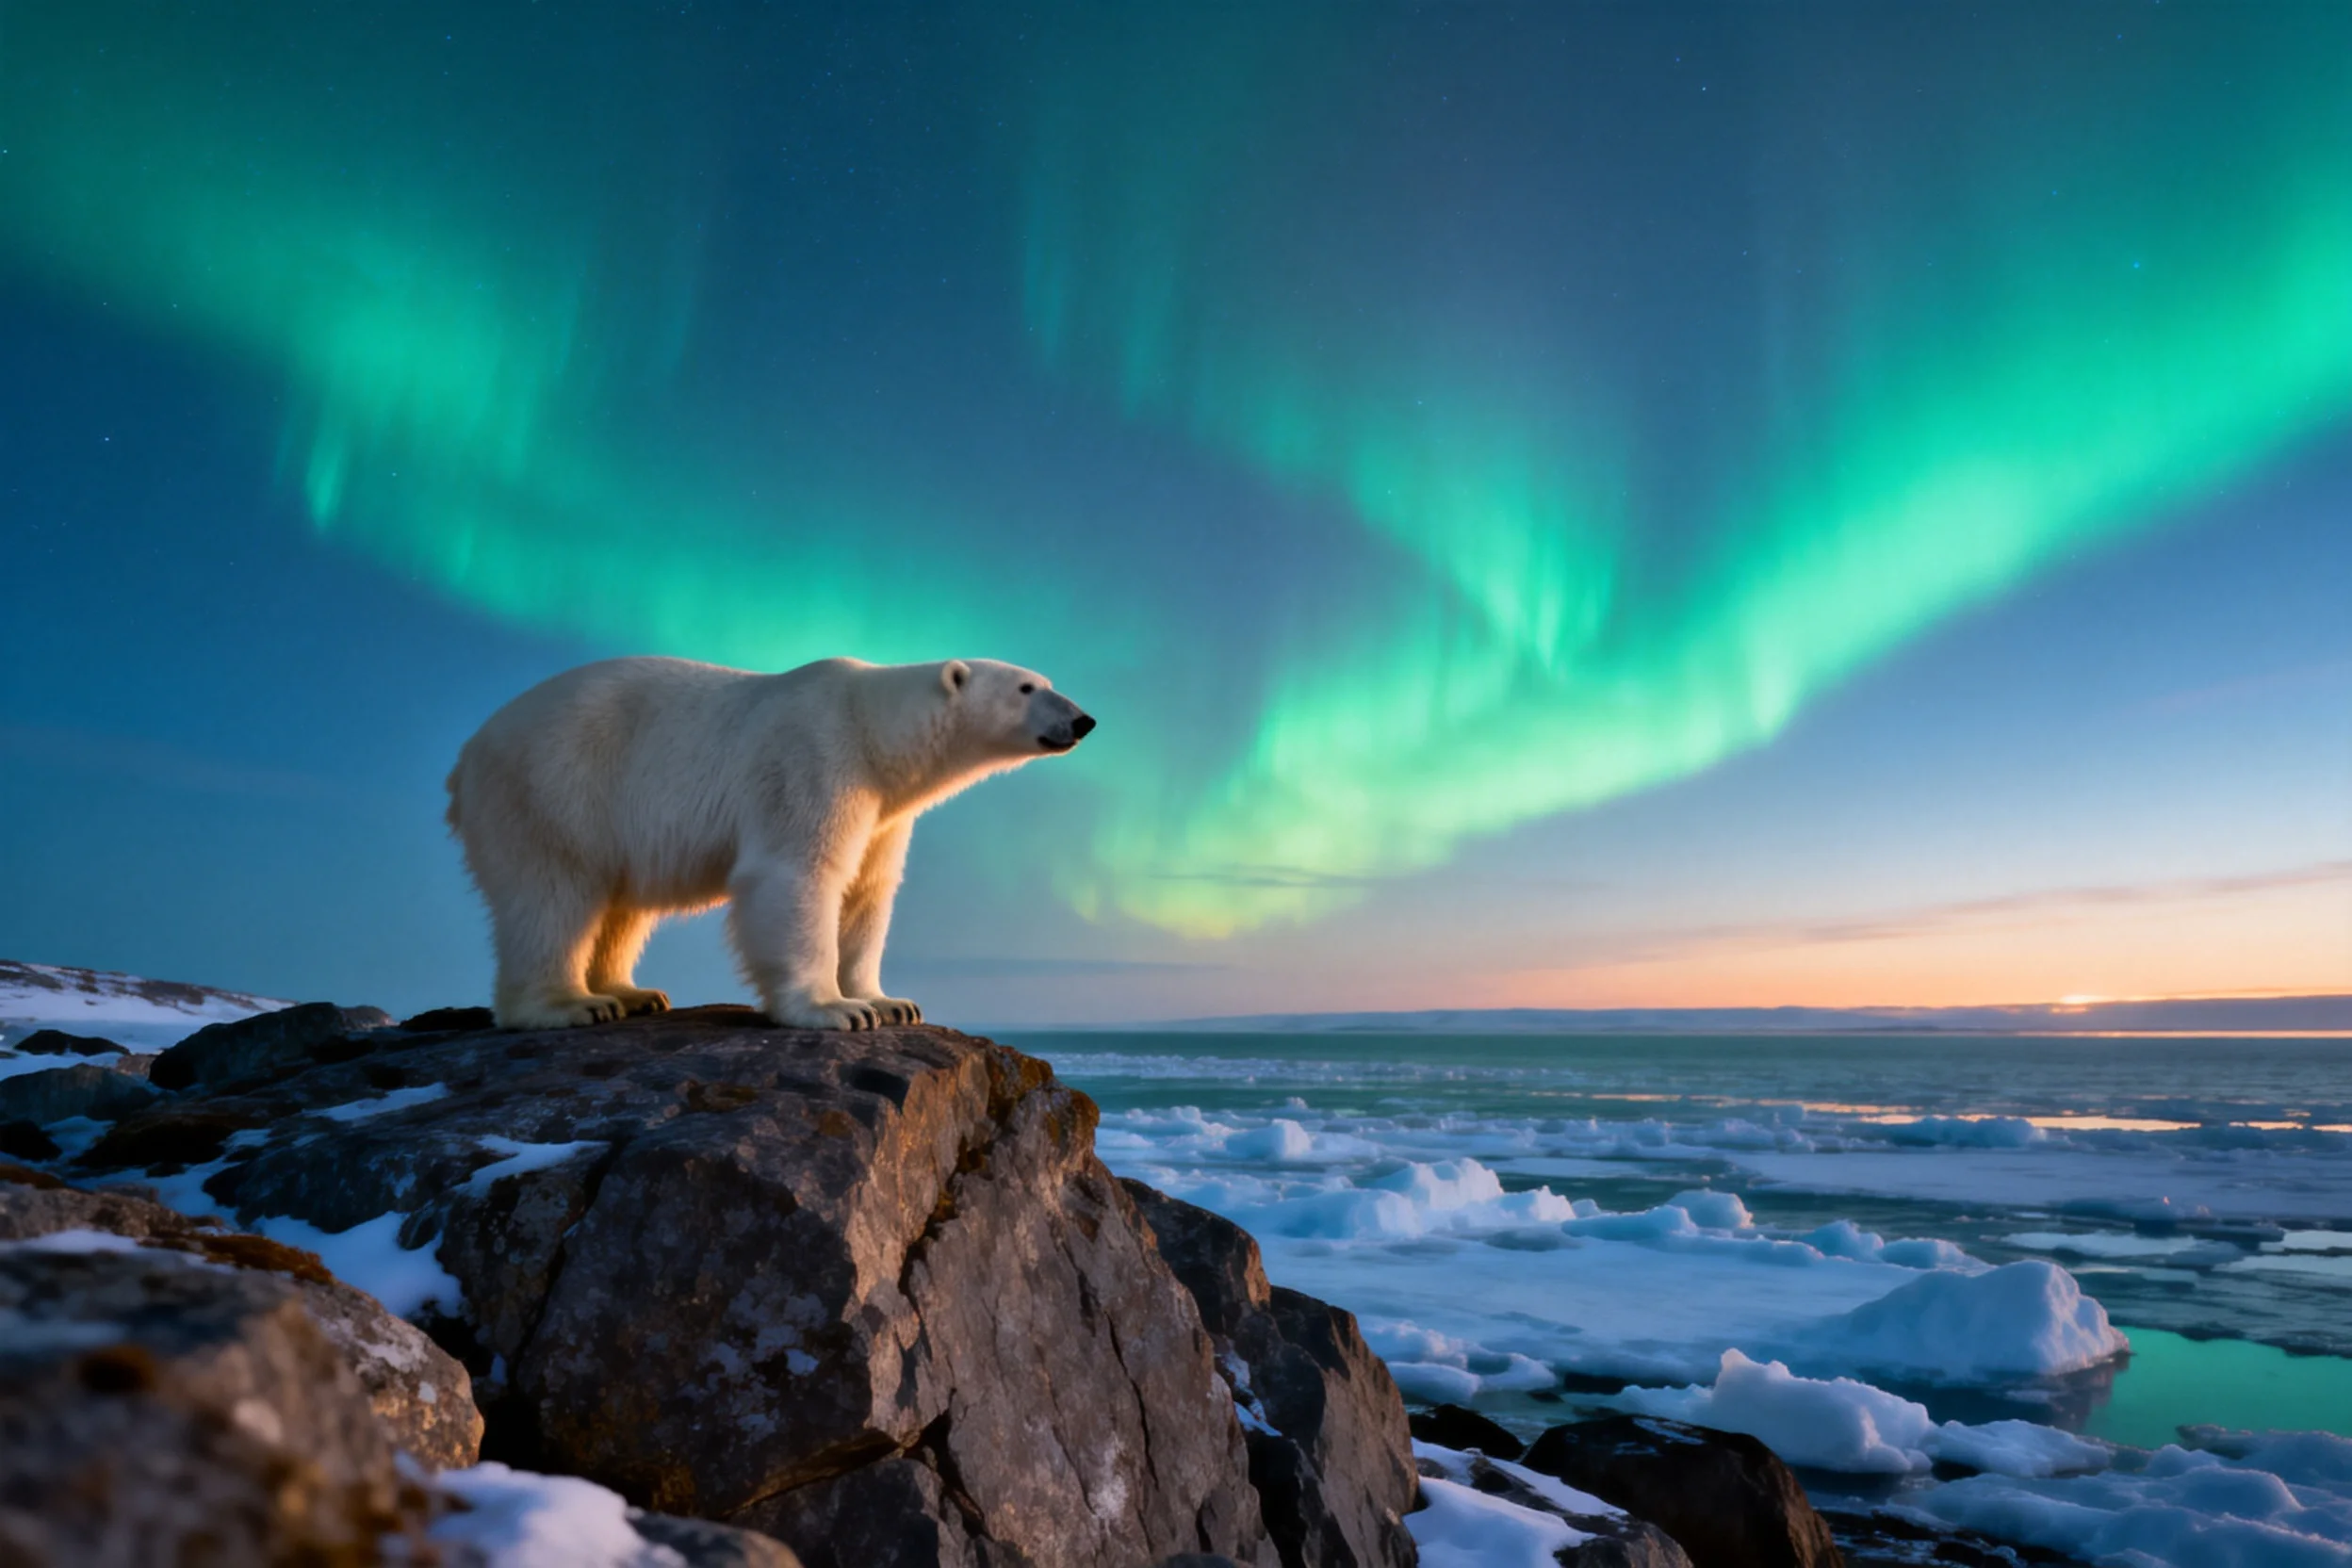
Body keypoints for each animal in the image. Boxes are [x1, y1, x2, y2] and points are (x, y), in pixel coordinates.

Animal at [445, 656, 1094, 1031]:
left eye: (1050, 682)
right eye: (1026, 687)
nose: (1083, 720)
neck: (872, 729)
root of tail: (466, 756)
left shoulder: (884, 811)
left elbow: (868, 893)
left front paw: (890, 1003)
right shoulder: (813, 761)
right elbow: (800, 874)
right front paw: (837, 1011)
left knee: (620, 905)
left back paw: (631, 993)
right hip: (554, 786)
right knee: (553, 893)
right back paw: (570, 1004)